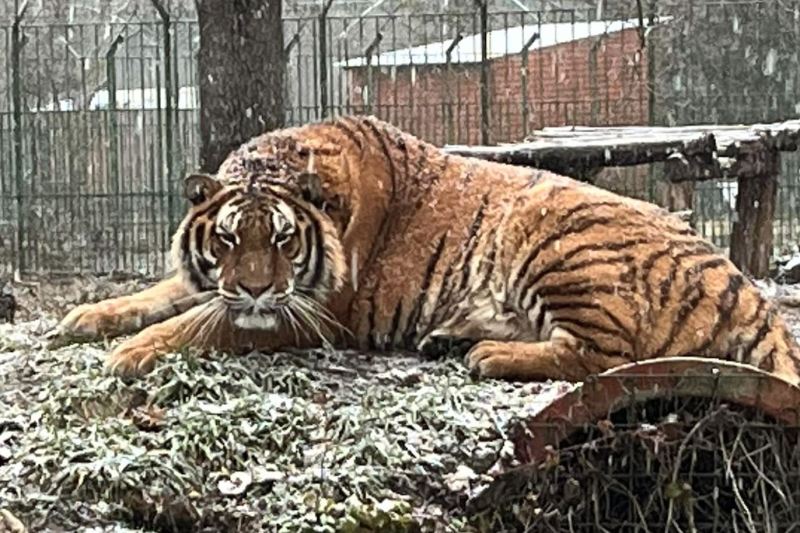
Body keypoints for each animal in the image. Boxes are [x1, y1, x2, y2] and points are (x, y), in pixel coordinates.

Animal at [54, 115, 800, 382]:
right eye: (229, 237)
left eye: (286, 240)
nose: (258, 287)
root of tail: (746, 287)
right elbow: (165, 293)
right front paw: (87, 317)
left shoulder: (313, 314)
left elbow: (201, 323)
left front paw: (130, 352)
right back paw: (453, 337)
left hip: (554, 236)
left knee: (608, 355)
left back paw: (487, 353)